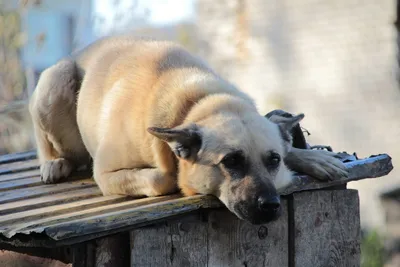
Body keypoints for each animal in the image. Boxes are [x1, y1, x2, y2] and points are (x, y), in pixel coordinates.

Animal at [28, 35, 346, 224]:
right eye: (231, 161)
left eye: (274, 160)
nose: (270, 206)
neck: (199, 104)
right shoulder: (105, 174)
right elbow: (162, 178)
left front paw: (310, 157)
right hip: (54, 83)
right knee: (50, 141)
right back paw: (53, 163)